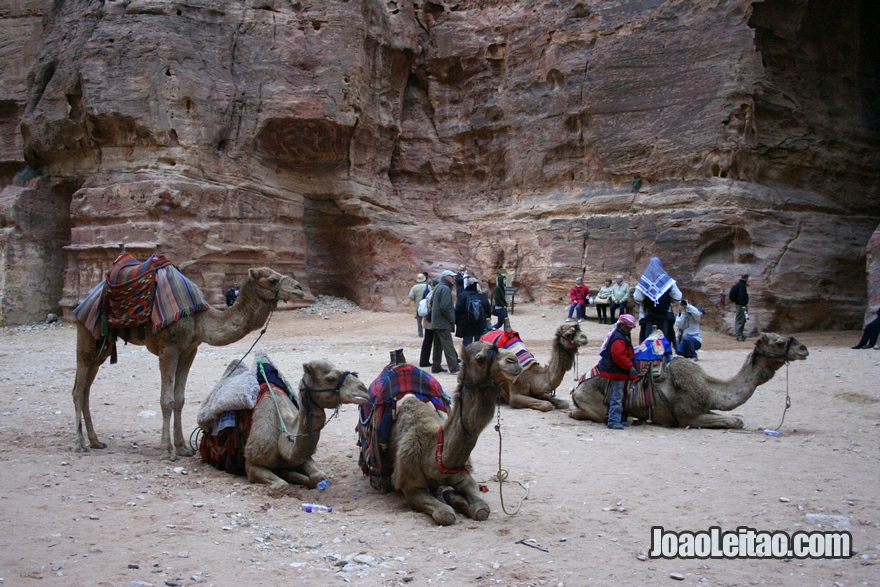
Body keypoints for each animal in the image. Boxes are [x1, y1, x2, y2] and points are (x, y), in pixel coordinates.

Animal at [70, 268, 302, 460]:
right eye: (272, 279)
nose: (299, 289)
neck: (199, 320)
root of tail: (84, 301)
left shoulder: (190, 349)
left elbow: (180, 399)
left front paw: (182, 447)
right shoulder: (169, 347)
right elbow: (167, 400)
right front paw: (167, 451)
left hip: (103, 345)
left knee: (87, 387)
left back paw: (95, 441)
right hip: (86, 332)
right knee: (78, 388)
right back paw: (80, 444)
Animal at [244, 360, 368, 494]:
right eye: (331, 379)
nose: (364, 389)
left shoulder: (303, 459)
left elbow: (318, 476)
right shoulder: (251, 464)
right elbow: (282, 485)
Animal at [386, 342, 524, 524]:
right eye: (480, 358)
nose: (514, 360)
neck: (433, 453)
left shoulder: (462, 475)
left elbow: (481, 509)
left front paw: (453, 497)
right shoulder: (410, 485)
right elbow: (446, 515)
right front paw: (450, 500)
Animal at [568, 334, 808, 430]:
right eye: (779, 342)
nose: (803, 349)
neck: (709, 386)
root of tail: (577, 387)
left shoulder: (704, 407)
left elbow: (735, 418)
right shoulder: (687, 415)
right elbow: (735, 421)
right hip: (592, 401)